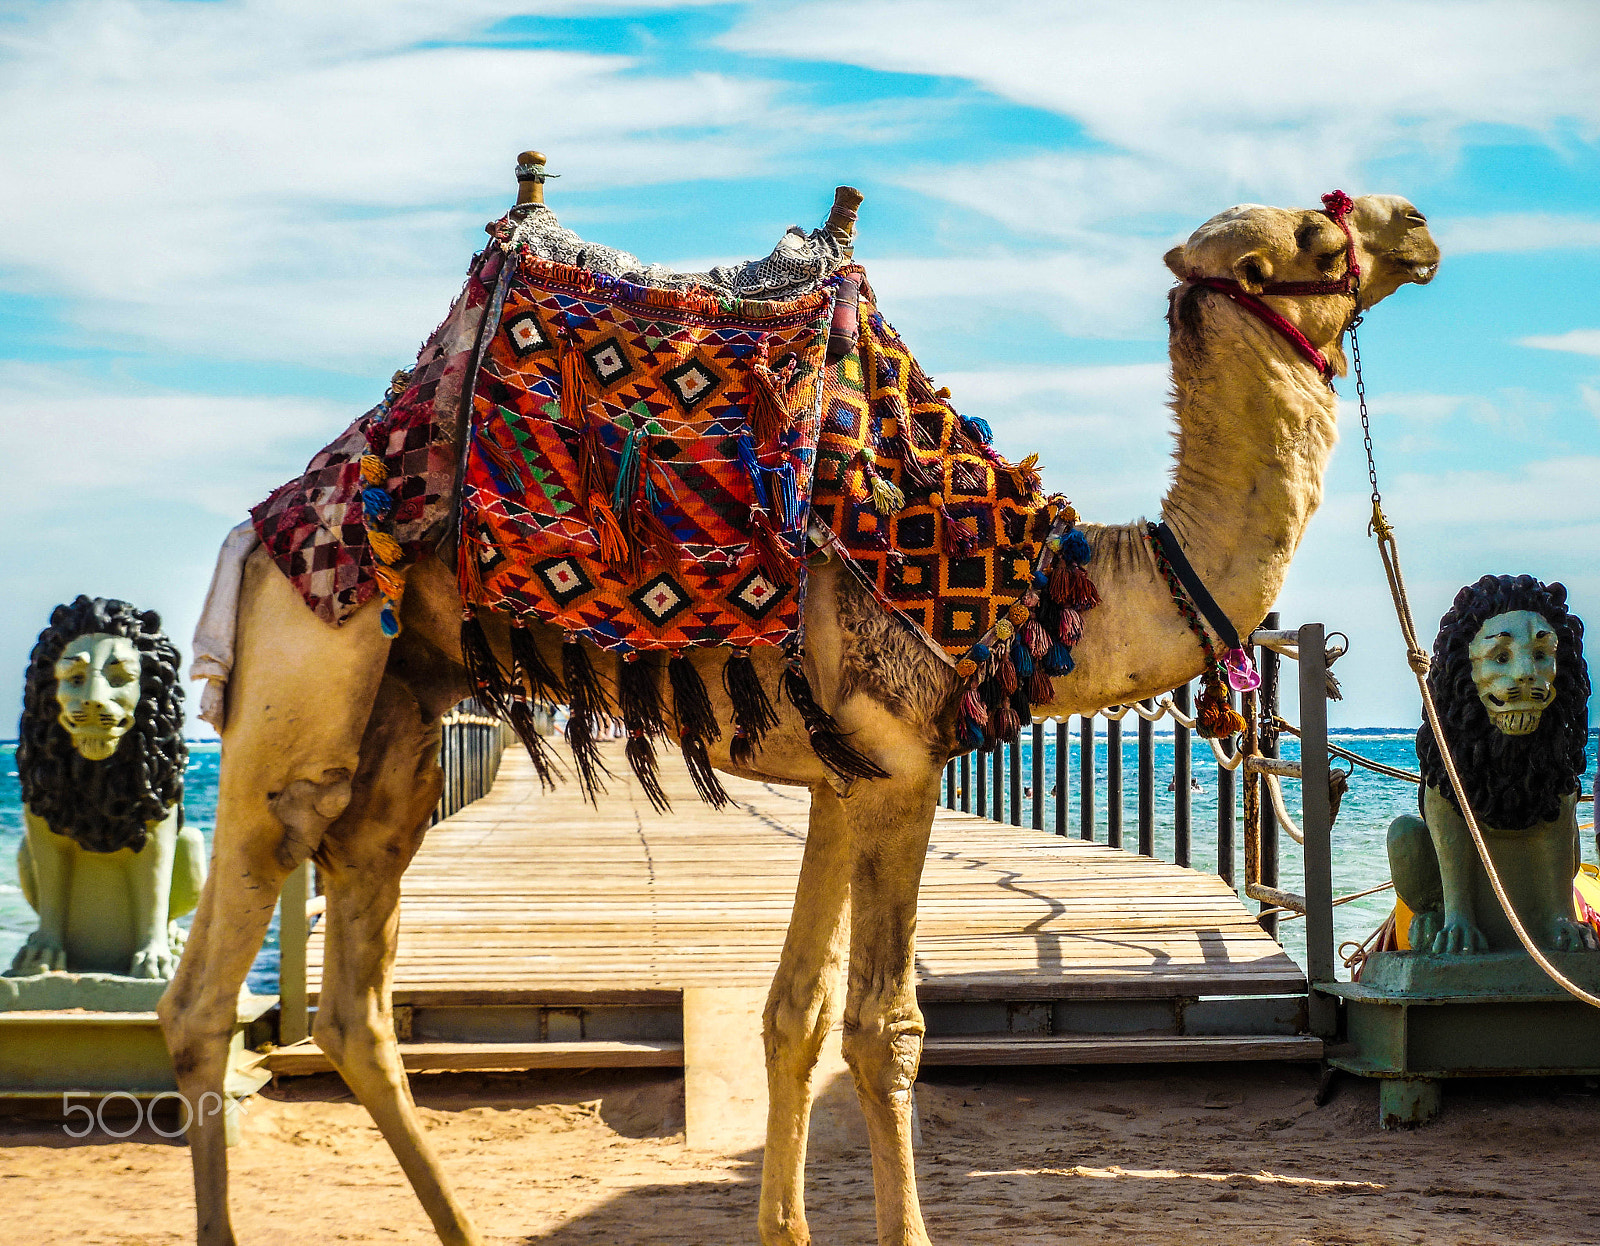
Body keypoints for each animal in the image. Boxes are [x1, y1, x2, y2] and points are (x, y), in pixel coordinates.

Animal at [159, 190, 1440, 1241]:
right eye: (1315, 237)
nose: (1418, 225)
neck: (1051, 593)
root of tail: (265, 524)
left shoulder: (843, 780)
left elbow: (793, 1017)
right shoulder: (905, 769)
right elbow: (883, 1028)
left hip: (402, 716)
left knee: (357, 1003)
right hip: (303, 678)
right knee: (205, 996)